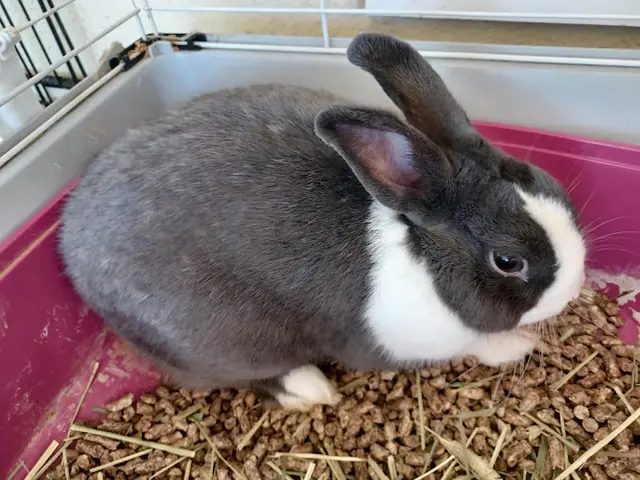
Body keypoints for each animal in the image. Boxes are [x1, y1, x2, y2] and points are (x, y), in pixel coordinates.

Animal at [59, 32, 586, 411]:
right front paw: (516, 346)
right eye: (508, 261)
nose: (575, 288)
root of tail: (70, 243)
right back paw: (311, 389)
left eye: (554, 188)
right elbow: (473, 345)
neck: (422, 258)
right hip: (225, 342)